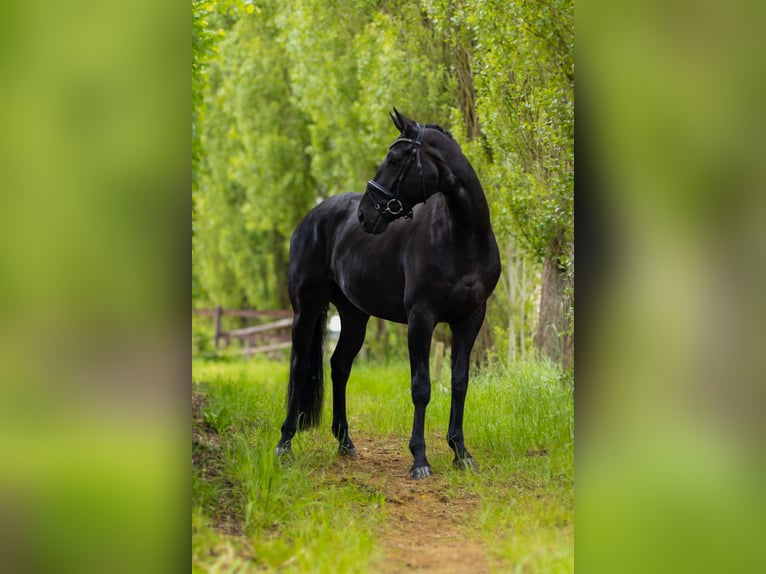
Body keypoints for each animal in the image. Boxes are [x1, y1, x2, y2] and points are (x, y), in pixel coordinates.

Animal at [278, 109, 504, 482]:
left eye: (396, 159)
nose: (365, 214)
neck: (462, 236)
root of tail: (311, 217)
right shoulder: (421, 318)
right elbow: (421, 387)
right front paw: (420, 459)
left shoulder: (470, 318)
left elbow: (459, 382)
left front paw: (461, 452)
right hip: (306, 308)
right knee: (299, 367)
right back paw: (285, 443)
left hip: (354, 316)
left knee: (339, 366)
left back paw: (345, 442)